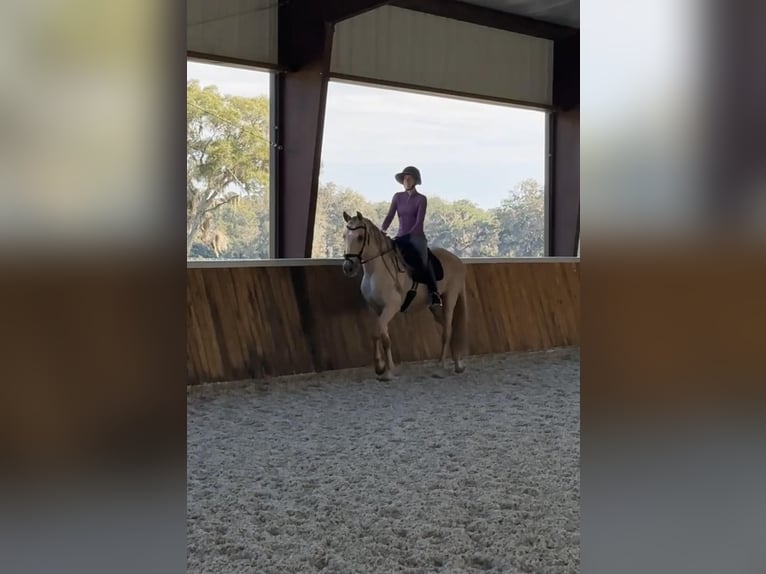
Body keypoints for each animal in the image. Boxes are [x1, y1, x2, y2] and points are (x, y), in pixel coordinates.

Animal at [342, 212, 468, 382]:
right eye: (344, 236)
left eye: (360, 237)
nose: (348, 267)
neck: (376, 271)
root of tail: (457, 260)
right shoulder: (376, 308)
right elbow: (381, 336)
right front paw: (384, 368)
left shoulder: (391, 306)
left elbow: (378, 334)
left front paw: (384, 370)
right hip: (434, 307)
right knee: (448, 327)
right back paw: (457, 363)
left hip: (450, 297)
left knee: (447, 330)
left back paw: (440, 367)